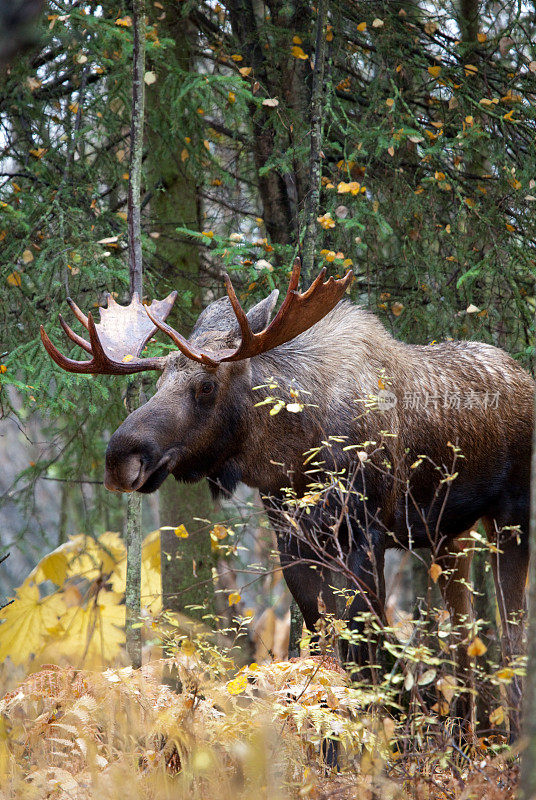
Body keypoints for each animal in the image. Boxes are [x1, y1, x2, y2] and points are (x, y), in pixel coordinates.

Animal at [40, 260, 532, 736]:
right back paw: (467, 733)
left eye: (206, 385)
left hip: (511, 519)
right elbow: (329, 650)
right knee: (464, 635)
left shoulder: (364, 538)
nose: (119, 458)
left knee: (511, 633)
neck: (295, 457)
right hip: (450, 537)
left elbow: (370, 655)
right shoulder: (294, 544)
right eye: (158, 382)